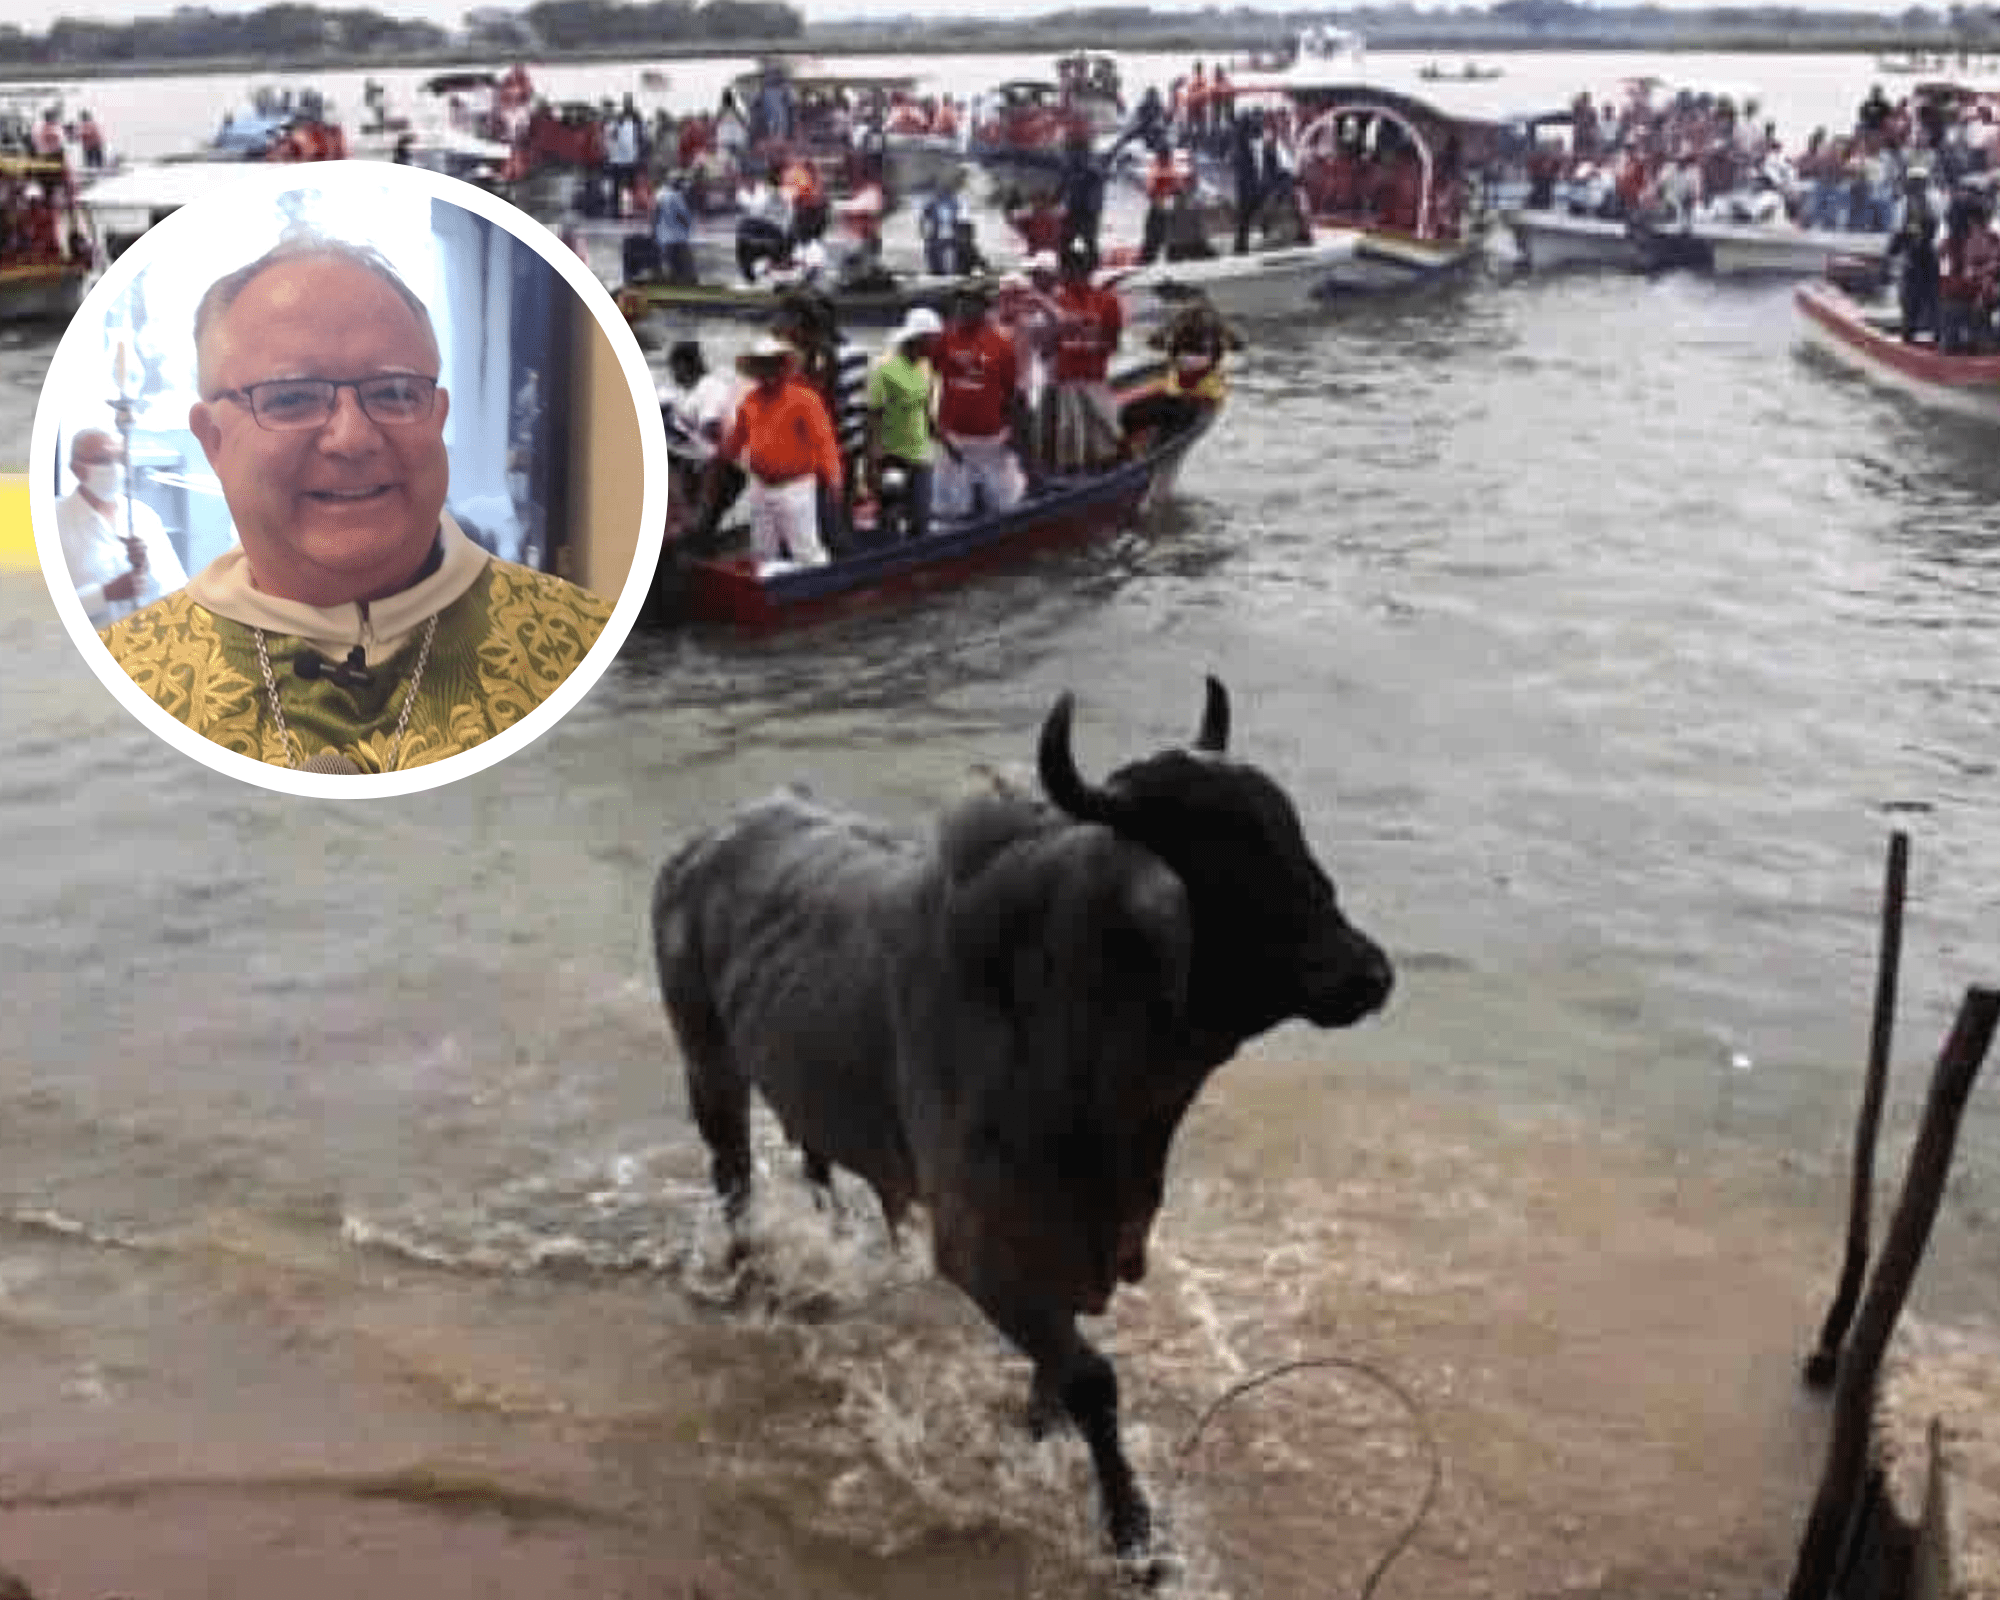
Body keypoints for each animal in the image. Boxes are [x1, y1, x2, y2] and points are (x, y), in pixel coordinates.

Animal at [656, 680, 1392, 1560]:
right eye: (1218, 851)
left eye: (1287, 825)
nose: (1366, 973)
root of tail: (702, 846)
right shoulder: (981, 1250)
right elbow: (1092, 1381)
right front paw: (1132, 1533)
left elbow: (1057, 1377)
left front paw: (1042, 1437)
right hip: (709, 1065)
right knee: (732, 1177)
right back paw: (744, 1268)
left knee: (816, 1163)